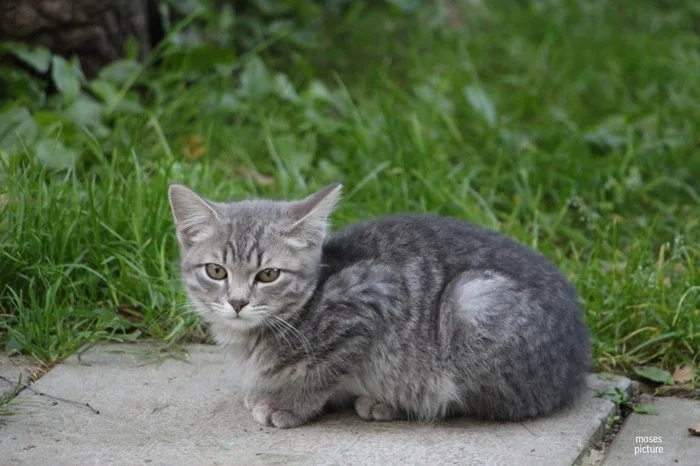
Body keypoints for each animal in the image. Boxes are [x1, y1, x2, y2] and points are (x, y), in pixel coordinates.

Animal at [168, 183, 592, 430]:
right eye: (216, 270)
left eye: (268, 274)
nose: (238, 301)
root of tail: (577, 367)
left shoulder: (369, 298)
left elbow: (323, 369)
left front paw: (290, 403)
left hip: (470, 302)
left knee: (461, 401)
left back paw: (390, 403)